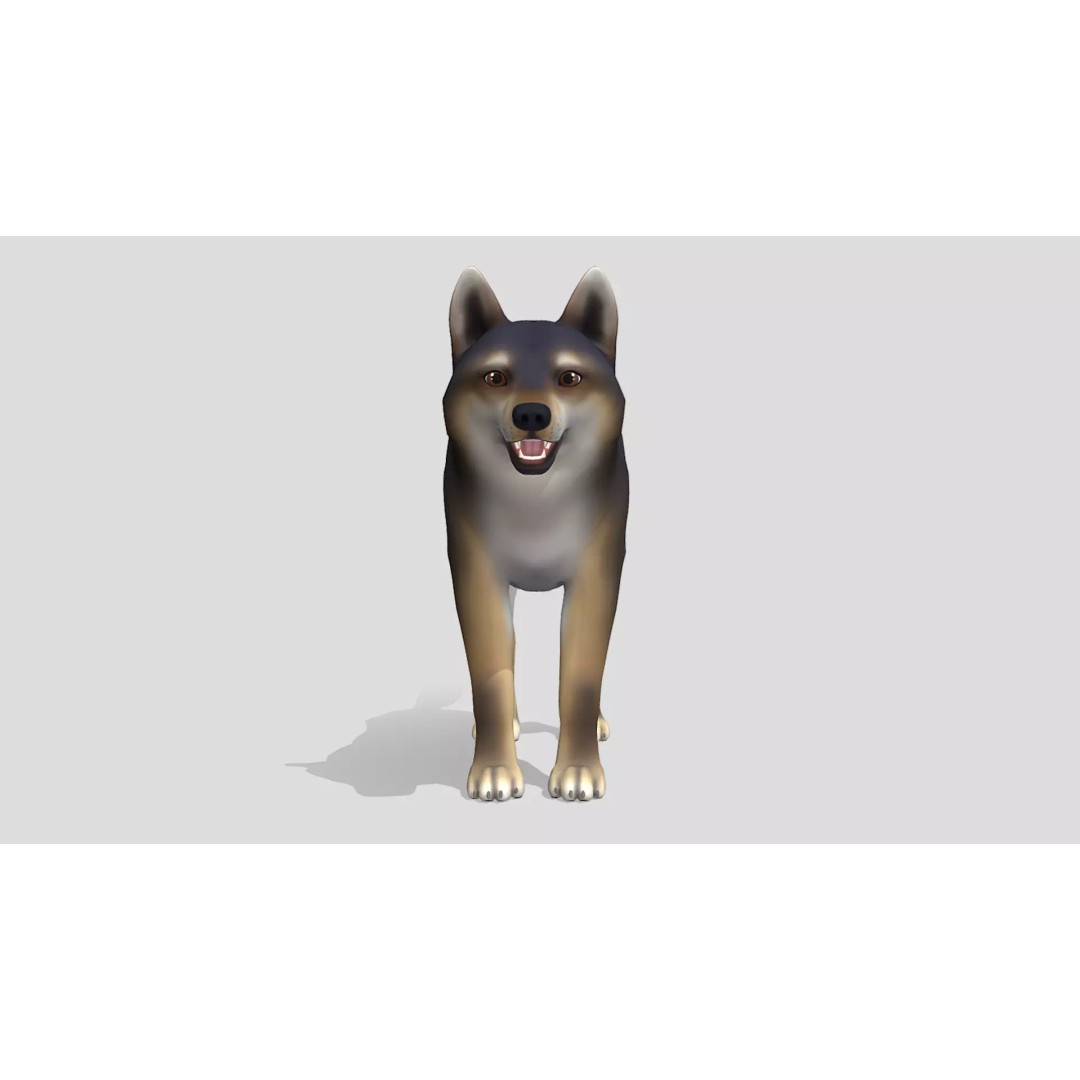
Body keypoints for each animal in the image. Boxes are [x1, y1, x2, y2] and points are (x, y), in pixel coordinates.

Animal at [443, 268, 628, 802]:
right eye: (495, 377)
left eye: (569, 378)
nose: (530, 414)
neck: (536, 504)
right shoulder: (477, 580)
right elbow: (491, 677)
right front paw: (493, 767)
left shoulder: (595, 580)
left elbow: (581, 680)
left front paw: (579, 769)